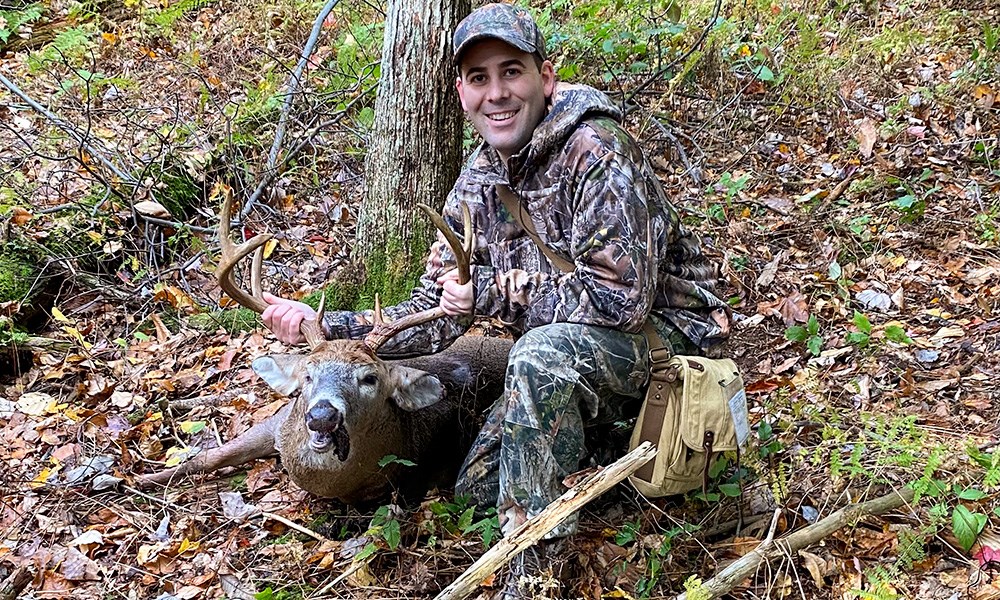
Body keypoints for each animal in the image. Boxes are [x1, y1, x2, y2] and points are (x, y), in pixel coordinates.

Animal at [137, 191, 512, 502]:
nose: (321, 416)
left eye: (370, 378)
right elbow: (209, 456)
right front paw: (134, 480)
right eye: (307, 375)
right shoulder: (278, 419)